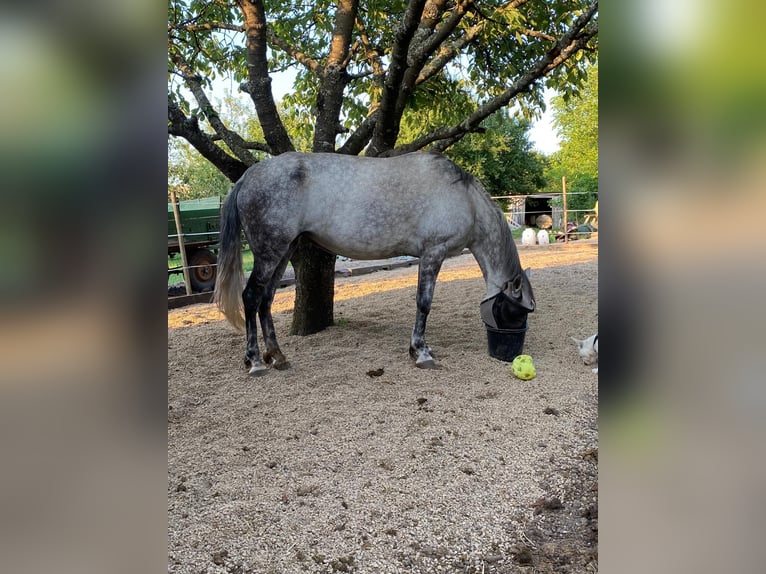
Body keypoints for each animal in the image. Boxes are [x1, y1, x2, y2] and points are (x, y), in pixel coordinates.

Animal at [214, 151, 535, 376]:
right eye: (515, 311)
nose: (510, 352)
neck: (464, 197)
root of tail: (247, 177)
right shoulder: (433, 253)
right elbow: (424, 303)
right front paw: (421, 353)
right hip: (270, 252)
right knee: (251, 297)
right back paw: (256, 361)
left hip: (284, 250)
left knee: (266, 299)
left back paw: (277, 356)